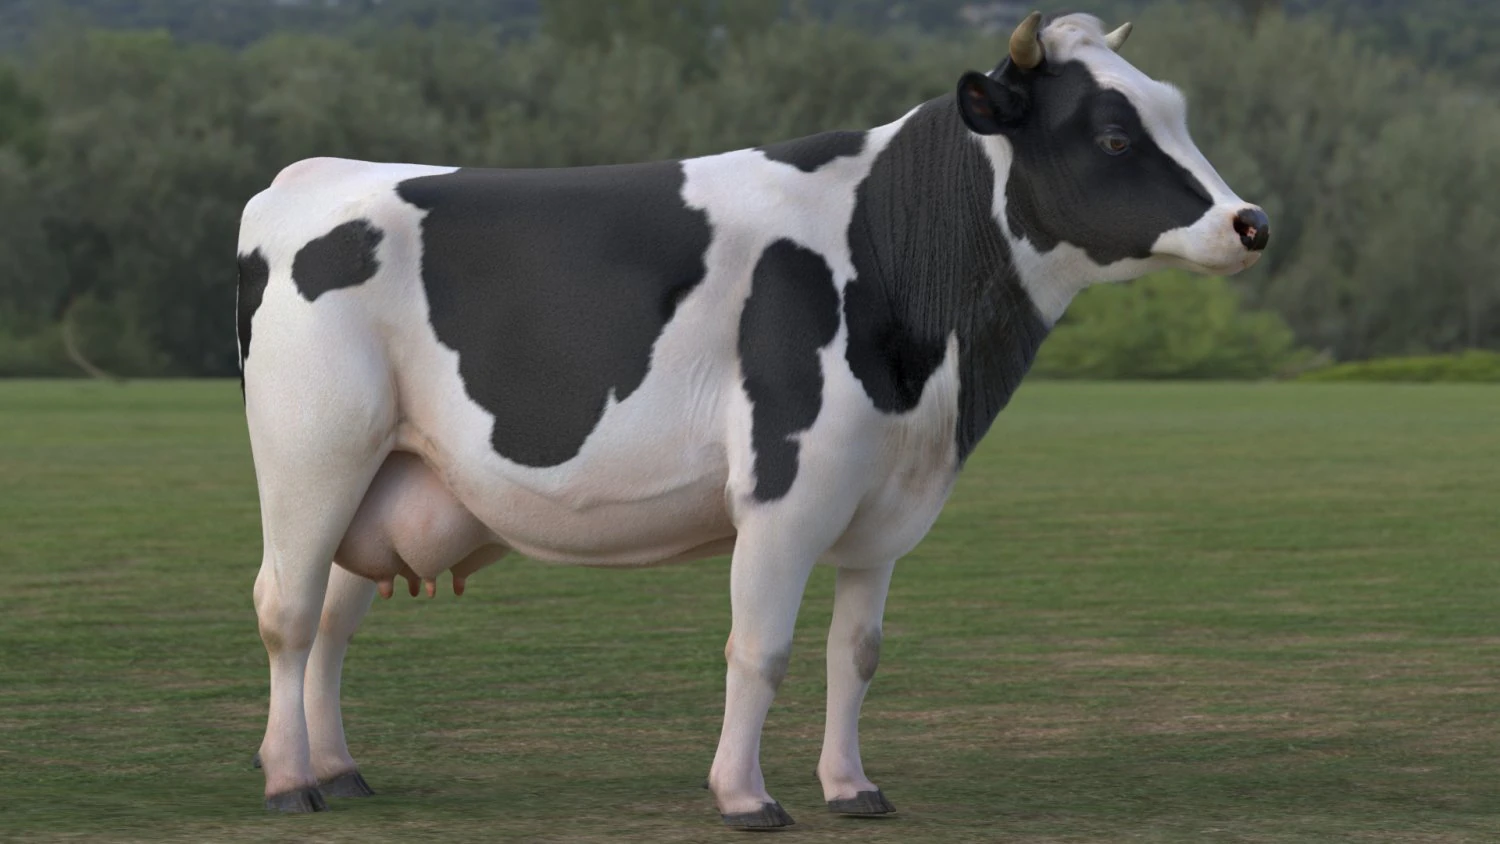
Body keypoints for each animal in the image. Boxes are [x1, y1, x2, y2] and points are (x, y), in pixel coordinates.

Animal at [237, 12, 1269, 827]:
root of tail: (307, 175)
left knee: (333, 617)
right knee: (287, 610)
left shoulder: (881, 505)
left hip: (383, 472)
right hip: (309, 454)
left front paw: (853, 789)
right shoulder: (785, 491)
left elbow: (857, 653)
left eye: (1172, 111)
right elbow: (761, 650)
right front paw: (744, 797)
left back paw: (341, 769)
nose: (1250, 222)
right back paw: (289, 782)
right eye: (1113, 137)